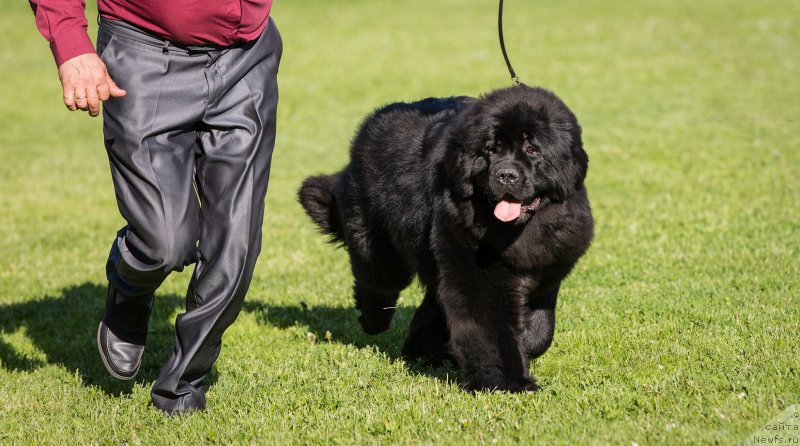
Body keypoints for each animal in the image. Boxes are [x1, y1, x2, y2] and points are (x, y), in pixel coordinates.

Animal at [296, 85, 592, 392]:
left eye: (532, 149)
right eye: (491, 149)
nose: (506, 175)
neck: (517, 232)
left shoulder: (549, 269)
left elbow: (542, 330)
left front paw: (524, 347)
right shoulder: (477, 273)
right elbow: (491, 326)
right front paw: (508, 383)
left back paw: (422, 353)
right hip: (377, 244)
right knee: (377, 281)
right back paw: (373, 320)